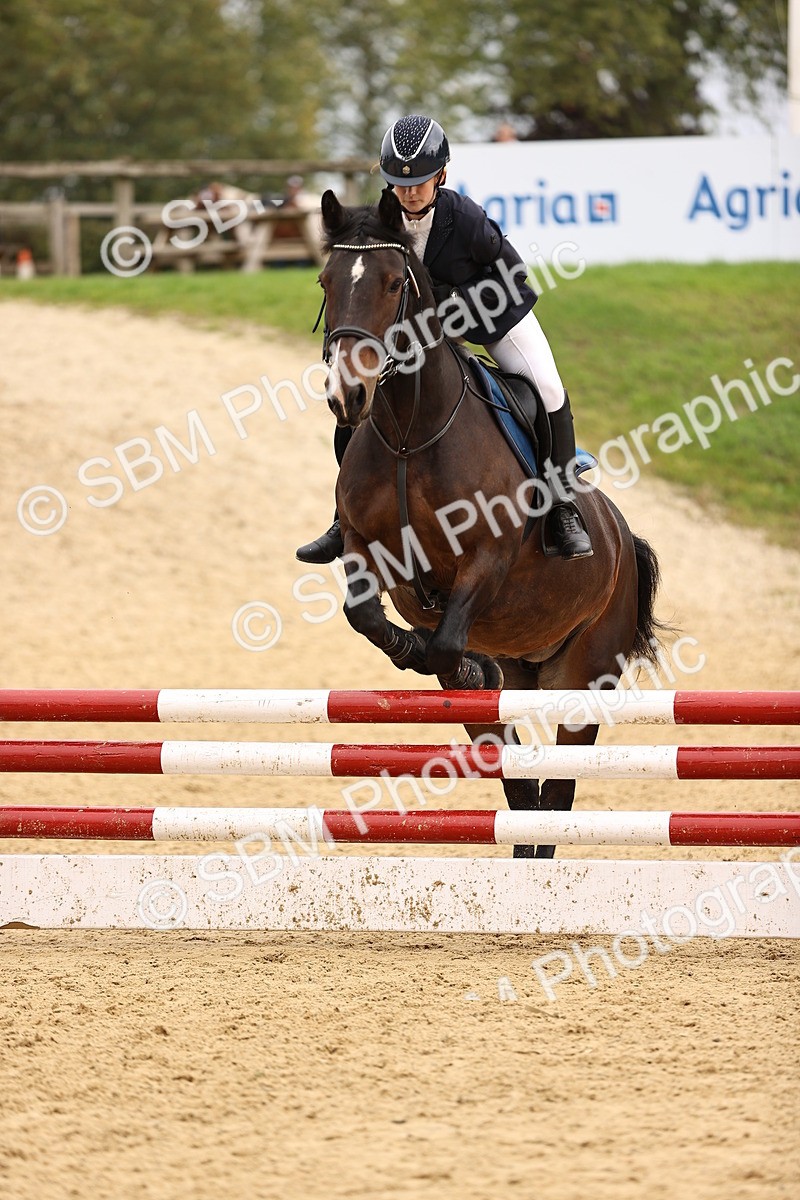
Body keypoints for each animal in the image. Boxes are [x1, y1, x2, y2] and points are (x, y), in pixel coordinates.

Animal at [317, 187, 665, 857]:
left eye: (394, 282)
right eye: (326, 281)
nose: (348, 396)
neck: (410, 431)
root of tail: (620, 533)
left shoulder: (487, 560)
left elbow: (448, 643)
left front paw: (449, 658)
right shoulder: (363, 544)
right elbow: (364, 614)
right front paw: (412, 648)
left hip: (584, 676)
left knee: (558, 788)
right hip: (526, 665)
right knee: (513, 769)